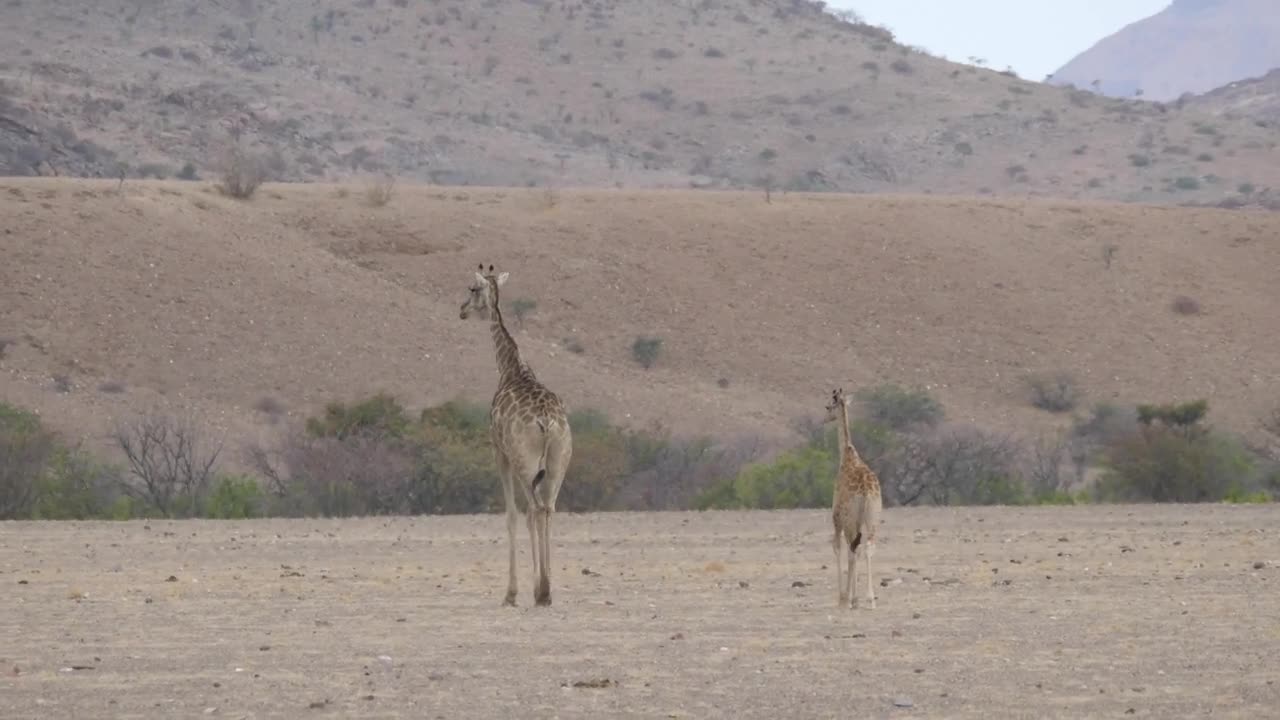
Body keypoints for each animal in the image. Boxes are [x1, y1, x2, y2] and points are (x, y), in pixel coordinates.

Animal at [460, 263, 573, 607]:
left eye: (472, 289)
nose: (462, 310)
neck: (511, 368)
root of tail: (547, 421)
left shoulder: (500, 451)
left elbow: (511, 515)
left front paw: (510, 593)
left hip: (525, 461)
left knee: (534, 510)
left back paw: (541, 590)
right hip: (559, 461)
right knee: (548, 508)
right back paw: (546, 590)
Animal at [825, 388, 883, 609]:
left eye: (828, 406)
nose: (825, 418)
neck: (846, 454)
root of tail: (867, 491)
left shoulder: (837, 517)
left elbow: (838, 548)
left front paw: (844, 597)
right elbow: (853, 550)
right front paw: (853, 598)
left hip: (851, 518)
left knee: (853, 548)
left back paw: (859, 598)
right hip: (873, 517)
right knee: (868, 546)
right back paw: (870, 598)